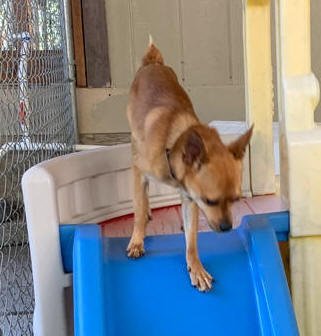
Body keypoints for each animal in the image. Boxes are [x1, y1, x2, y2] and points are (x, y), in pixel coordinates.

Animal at [125, 37, 252, 292]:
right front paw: (137, 239)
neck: (172, 144)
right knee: (141, 196)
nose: (227, 227)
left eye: (235, 200)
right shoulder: (140, 172)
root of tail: (153, 63)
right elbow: (138, 208)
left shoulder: (189, 196)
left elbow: (192, 238)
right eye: (210, 201)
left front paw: (196, 267)